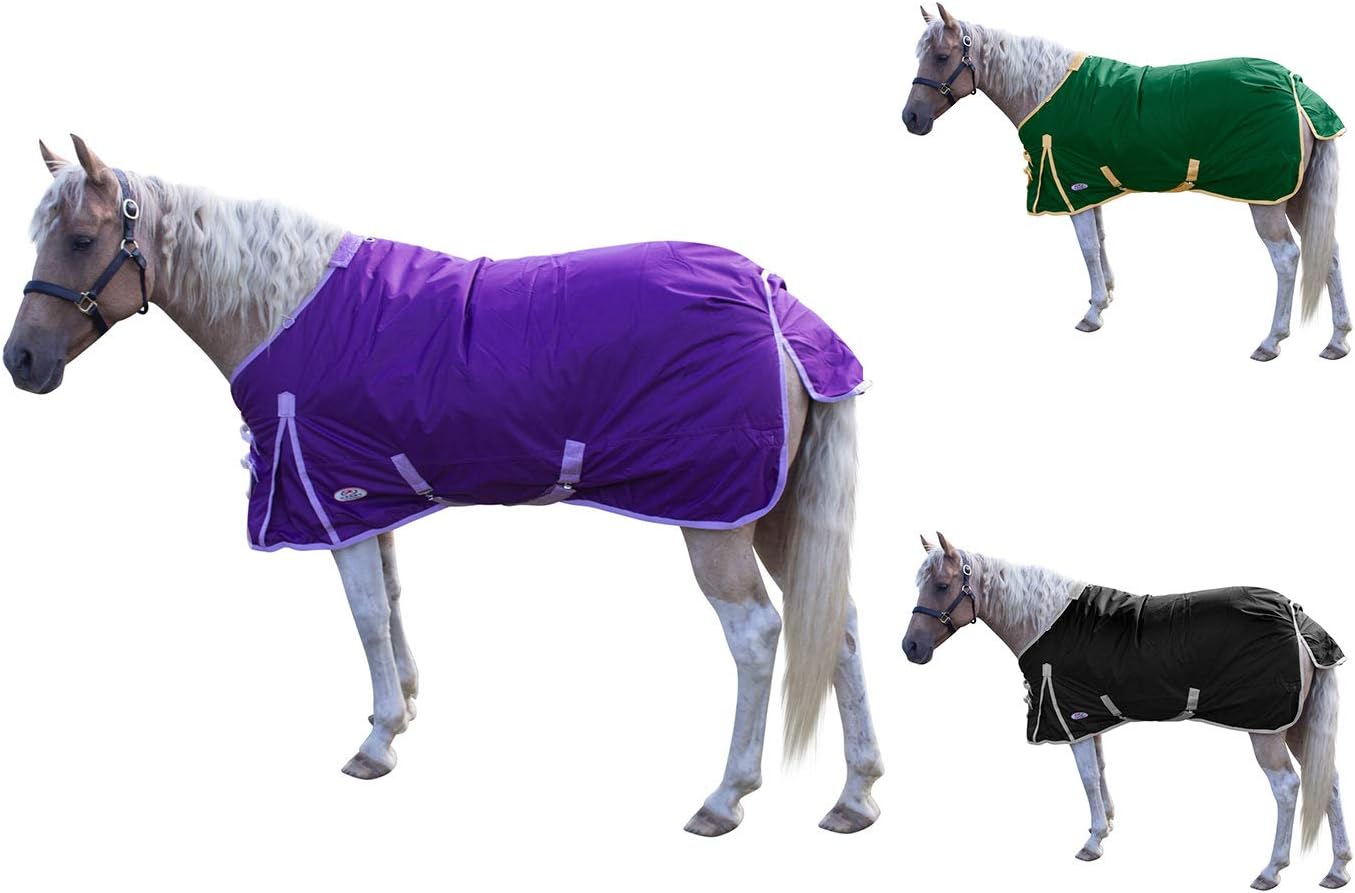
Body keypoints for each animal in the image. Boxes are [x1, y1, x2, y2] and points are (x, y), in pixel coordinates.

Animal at [2, 135, 885, 837]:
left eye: (81, 238)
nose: (22, 363)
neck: (285, 308)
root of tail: (775, 304)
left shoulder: (332, 499)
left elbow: (363, 614)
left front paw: (375, 741)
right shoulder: (369, 499)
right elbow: (391, 602)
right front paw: (401, 708)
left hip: (717, 518)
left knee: (757, 636)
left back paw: (725, 796)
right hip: (776, 511)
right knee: (835, 622)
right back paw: (855, 795)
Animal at [901, 5, 1347, 361]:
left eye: (942, 56)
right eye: (921, 55)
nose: (911, 119)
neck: (1045, 90)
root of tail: (1297, 88)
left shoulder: (1069, 185)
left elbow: (1086, 247)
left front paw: (1093, 313)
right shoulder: (1086, 188)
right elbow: (1099, 242)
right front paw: (1107, 296)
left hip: (1267, 198)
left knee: (1287, 258)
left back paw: (1271, 341)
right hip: (1298, 196)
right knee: (1327, 251)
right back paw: (1337, 340)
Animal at [903, 533, 1350, 890]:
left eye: (942, 585)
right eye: (920, 584)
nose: (910, 648)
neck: (1044, 621)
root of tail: (1297, 616)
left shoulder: (1071, 720)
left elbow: (1086, 777)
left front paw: (1091, 843)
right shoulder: (1089, 720)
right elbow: (1100, 772)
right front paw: (1105, 827)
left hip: (1267, 730)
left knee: (1288, 788)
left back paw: (1271, 870)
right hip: (1298, 725)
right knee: (1327, 780)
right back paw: (1337, 870)